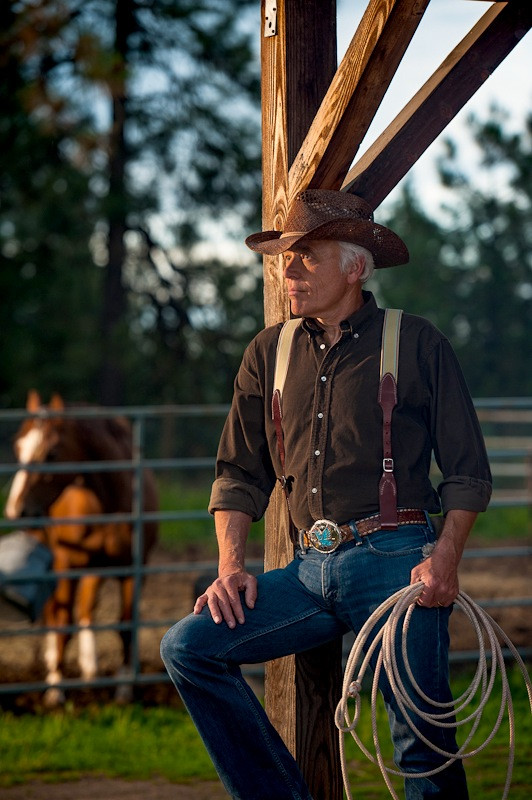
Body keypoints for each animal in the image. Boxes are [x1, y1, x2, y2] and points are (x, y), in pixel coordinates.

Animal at [3, 390, 158, 704]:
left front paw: (124, 690)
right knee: (54, 612)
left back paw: (90, 668)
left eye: (51, 454)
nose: (15, 509)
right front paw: (55, 691)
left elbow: (126, 627)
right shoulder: (66, 564)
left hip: (94, 570)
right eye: (18, 447)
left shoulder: (133, 572)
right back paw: (53, 662)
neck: (108, 501)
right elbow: (63, 623)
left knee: (87, 610)